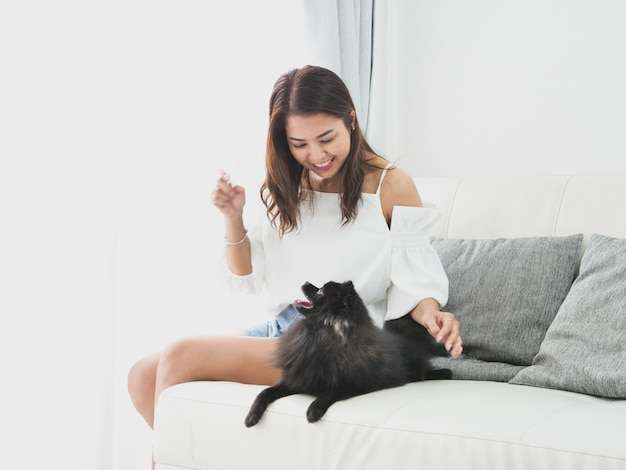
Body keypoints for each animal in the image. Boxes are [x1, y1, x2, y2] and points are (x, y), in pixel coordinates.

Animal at [243, 280, 448, 428]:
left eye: (320, 291)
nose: (305, 282)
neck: (320, 332)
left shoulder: (355, 385)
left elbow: (332, 392)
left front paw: (314, 409)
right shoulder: (296, 379)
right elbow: (264, 392)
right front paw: (252, 415)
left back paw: (443, 372)